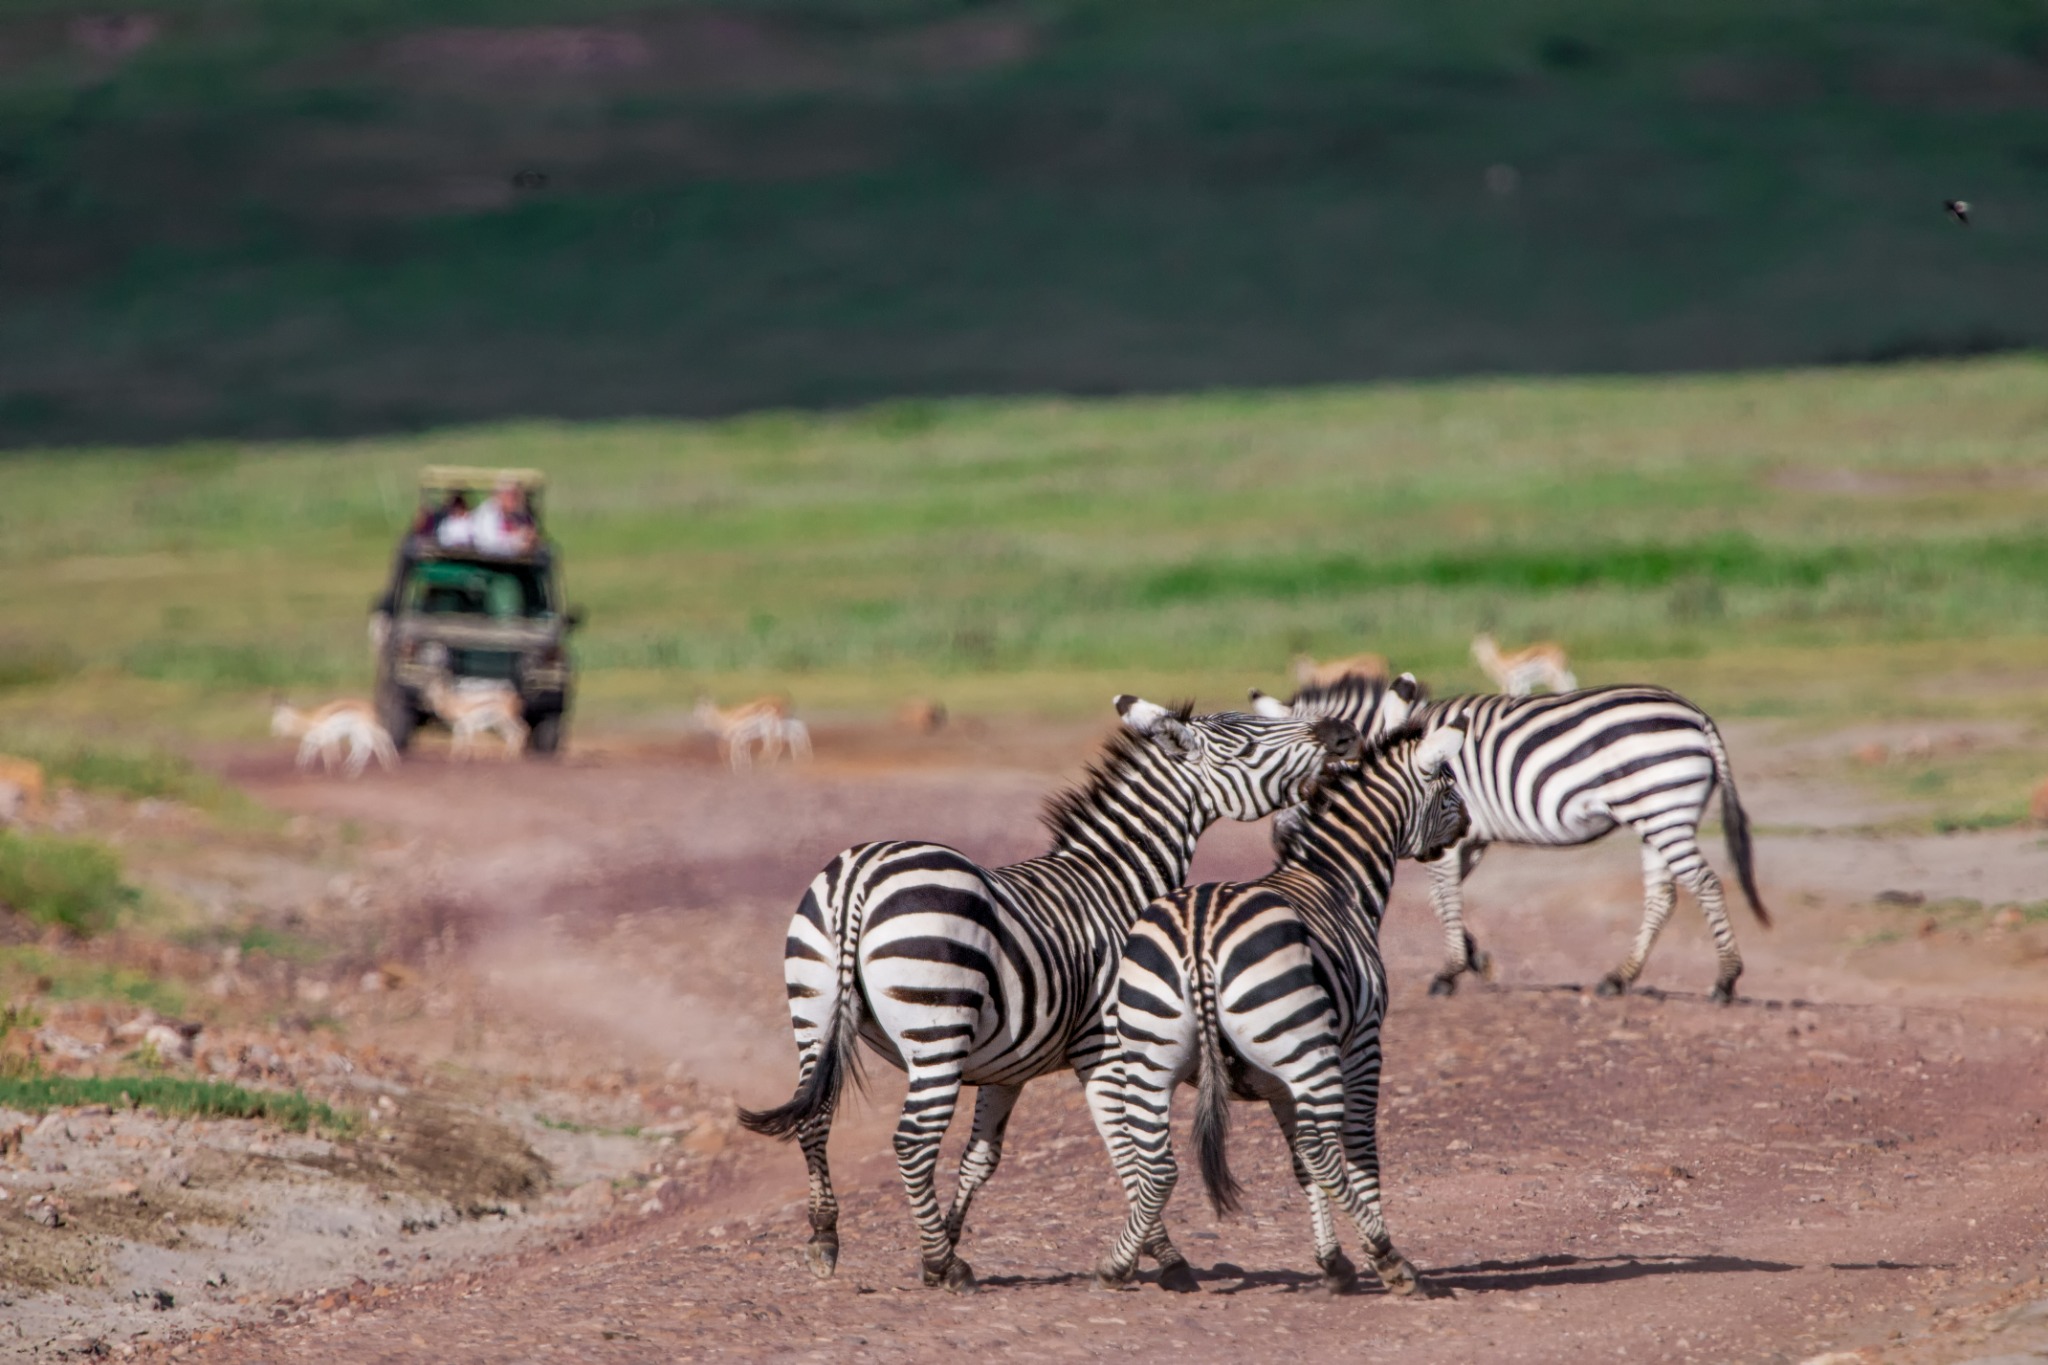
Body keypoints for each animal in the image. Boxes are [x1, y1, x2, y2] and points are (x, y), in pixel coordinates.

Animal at [737, 696, 1360, 1293]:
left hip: (813, 1009)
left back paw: (828, 1239)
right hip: (936, 1032)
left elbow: (981, 1160)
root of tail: (858, 876)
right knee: (913, 1140)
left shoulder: (1006, 1070)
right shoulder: (1109, 1047)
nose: (1344, 734)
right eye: (1250, 740)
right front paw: (1163, 1259)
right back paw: (944, 1268)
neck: (1116, 883)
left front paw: (951, 1235)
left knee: (815, 1117)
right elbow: (1130, 1154)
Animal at [1096, 720, 1470, 1295]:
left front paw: (1332, 1261)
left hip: (1146, 1053)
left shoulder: (1276, 1081)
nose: (1468, 826)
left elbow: (1299, 1165)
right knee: (1325, 1151)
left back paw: (1119, 1265)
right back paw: (1393, 1261)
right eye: (1449, 788)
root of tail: (1199, 932)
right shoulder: (1363, 1044)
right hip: (1308, 1052)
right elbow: (1355, 1153)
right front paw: (1366, 1251)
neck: (1337, 882)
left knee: (1154, 1164)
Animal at [1255, 681, 1769, 1001]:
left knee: (1705, 883)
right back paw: (1618, 979)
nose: (1281, 840)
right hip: (1656, 816)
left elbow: (1444, 896)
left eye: (1314, 780)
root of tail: (1697, 715)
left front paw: (1449, 972)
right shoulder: (1467, 836)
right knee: (1663, 896)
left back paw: (1725, 981)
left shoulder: (1450, 832)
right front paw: (1475, 959)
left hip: (1663, 810)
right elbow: (1443, 899)